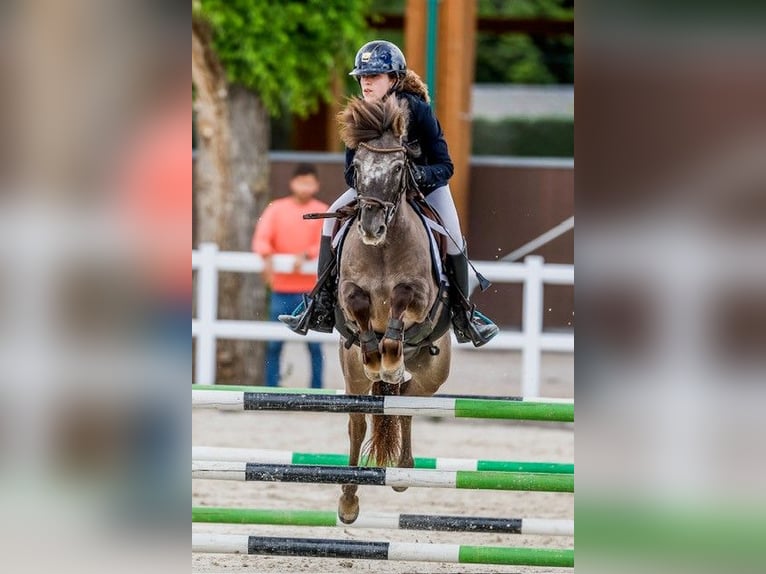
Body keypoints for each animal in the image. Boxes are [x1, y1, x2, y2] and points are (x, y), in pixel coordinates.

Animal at [334, 95, 450, 528]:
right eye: (357, 167)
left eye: (400, 167)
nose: (370, 227)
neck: (383, 249)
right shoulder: (348, 291)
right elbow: (360, 306)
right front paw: (375, 356)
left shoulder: (420, 295)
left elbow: (400, 302)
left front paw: (390, 357)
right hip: (351, 380)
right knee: (358, 422)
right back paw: (348, 501)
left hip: (432, 375)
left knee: (407, 406)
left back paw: (402, 472)